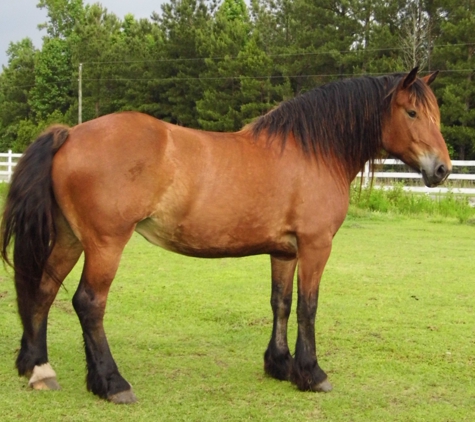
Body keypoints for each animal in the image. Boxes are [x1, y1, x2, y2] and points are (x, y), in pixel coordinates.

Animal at [0, 67, 454, 404]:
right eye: (412, 113)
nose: (442, 170)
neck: (313, 152)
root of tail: (70, 134)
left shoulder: (285, 252)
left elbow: (280, 303)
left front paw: (280, 365)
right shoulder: (315, 246)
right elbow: (308, 307)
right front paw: (311, 373)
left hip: (69, 239)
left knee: (43, 290)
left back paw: (38, 369)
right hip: (105, 244)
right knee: (88, 303)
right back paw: (113, 384)